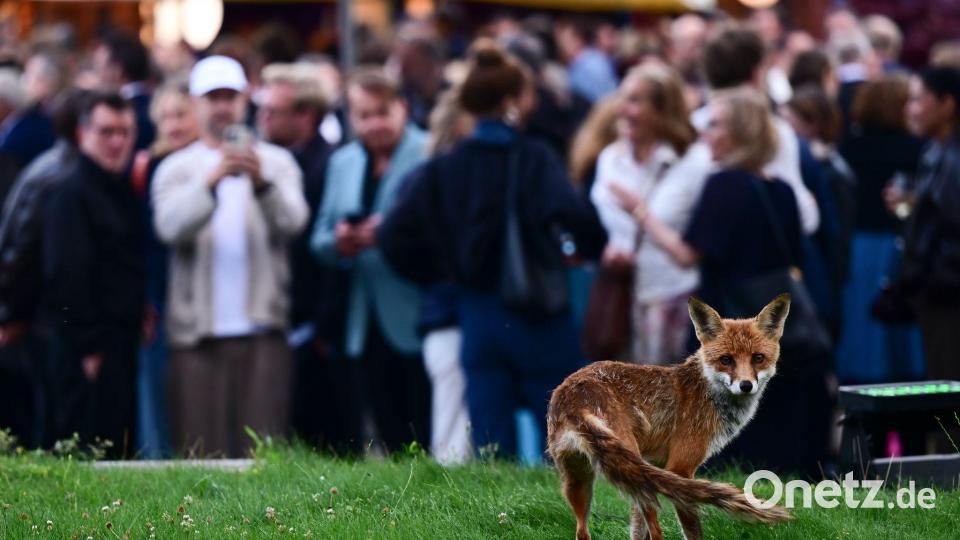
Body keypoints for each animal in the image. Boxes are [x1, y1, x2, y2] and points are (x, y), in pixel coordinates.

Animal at [546, 294, 794, 540]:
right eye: (726, 360)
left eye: (758, 358)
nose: (746, 385)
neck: (707, 389)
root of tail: (574, 396)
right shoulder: (680, 467)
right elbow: (691, 529)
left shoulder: (655, 466)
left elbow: (637, 529)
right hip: (629, 467)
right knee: (656, 532)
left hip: (582, 480)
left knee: (582, 531)